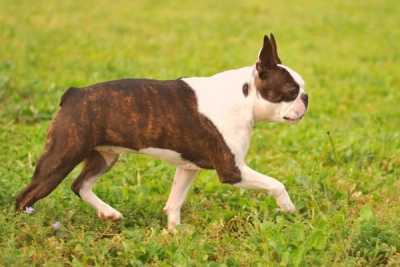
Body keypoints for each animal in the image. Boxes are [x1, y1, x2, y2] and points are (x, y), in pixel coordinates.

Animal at [15, 33, 308, 230]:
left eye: (302, 89)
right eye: (291, 91)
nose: (306, 98)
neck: (244, 97)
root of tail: (74, 93)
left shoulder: (188, 167)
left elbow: (175, 201)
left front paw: (174, 233)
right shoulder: (232, 170)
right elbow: (276, 183)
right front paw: (288, 207)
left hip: (104, 156)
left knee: (80, 185)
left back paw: (109, 213)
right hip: (61, 156)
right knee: (25, 195)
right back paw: (23, 224)